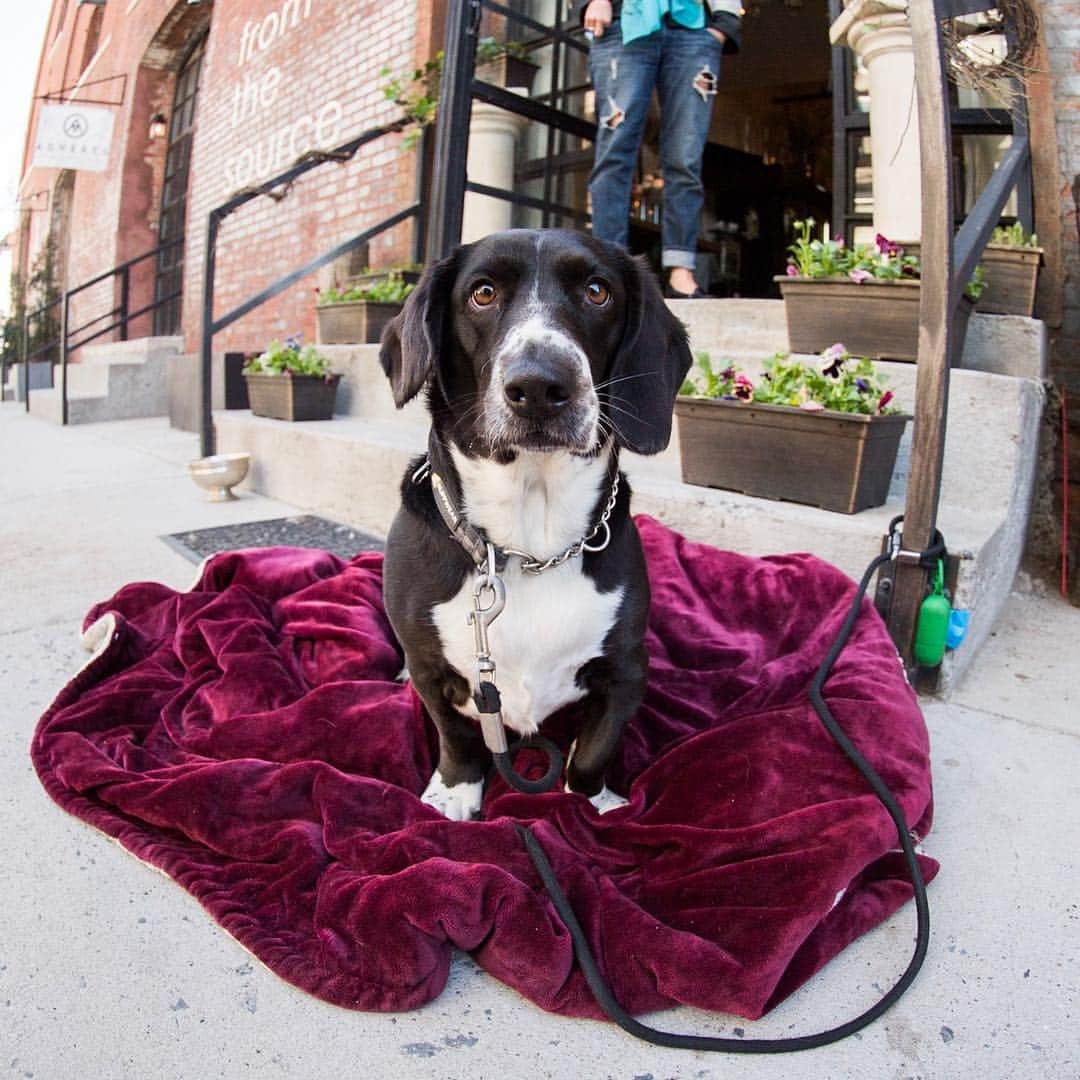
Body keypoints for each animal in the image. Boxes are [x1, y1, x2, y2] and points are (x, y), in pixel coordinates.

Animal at [380, 227, 691, 816]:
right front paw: (455, 791)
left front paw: (589, 801)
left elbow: (594, 748)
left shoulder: (626, 671)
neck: (530, 547)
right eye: (482, 292)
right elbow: (456, 735)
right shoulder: (436, 675)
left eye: (597, 291)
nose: (541, 386)